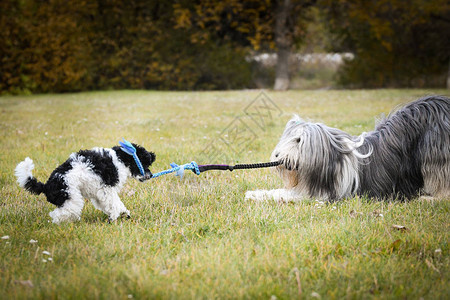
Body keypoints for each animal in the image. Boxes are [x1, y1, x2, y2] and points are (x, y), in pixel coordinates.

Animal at [14, 142, 156, 223]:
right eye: (144, 163)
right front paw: (118, 215)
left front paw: (122, 214)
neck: (120, 158)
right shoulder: (107, 190)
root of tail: (46, 186)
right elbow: (115, 203)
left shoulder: (99, 193)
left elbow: (110, 205)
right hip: (71, 199)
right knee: (57, 215)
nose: (150, 175)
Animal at [246, 95, 450, 203]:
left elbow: (286, 195)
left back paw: (431, 198)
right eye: (286, 137)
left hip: (435, 150)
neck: (333, 159)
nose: (278, 155)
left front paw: (255, 195)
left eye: (298, 140)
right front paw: (255, 193)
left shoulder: (325, 195)